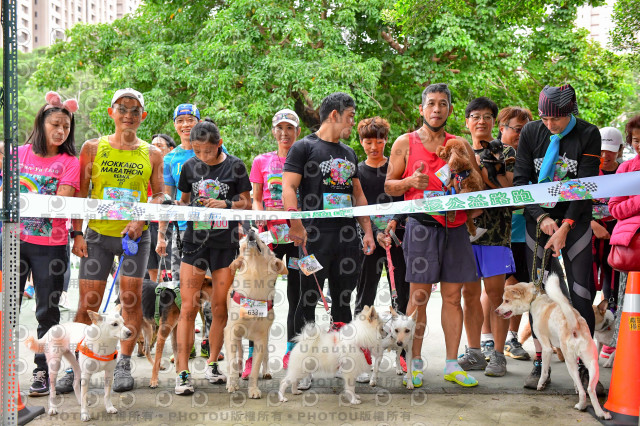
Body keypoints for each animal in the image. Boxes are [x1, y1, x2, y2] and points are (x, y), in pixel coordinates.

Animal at [224, 228, 286, 398]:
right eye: (243, 244)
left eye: (263, 242)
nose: (251, 230)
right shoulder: (231, 332)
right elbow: (231, 363)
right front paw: (232, 384)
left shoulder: (261, 339)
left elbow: (255, 368)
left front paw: (253, 389)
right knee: (238, 353)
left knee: (266, 355)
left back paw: (266, 371)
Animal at [496, 276, 608, 420]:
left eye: (507, 300)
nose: (496, 311)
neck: (536, 298)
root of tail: (575, 325)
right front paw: (575, 387)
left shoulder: (546, 347)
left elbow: (544, 370)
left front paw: (540, 384)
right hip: (592, 363)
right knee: (589, 389)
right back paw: (600, 413)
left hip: (570, 362)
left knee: (584, 391)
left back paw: (581, 405)